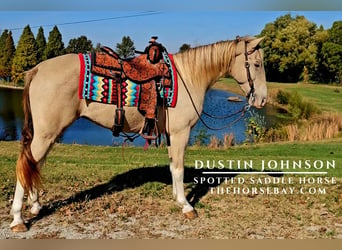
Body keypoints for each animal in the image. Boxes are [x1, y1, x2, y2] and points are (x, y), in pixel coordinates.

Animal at [9, 35, 268, 232]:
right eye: (256, 64)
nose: (263, 100)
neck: (189, 77)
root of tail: (38, 68)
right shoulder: (181, 133)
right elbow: (179, 168)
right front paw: (186, 205)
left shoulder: (171, 135)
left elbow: (173, 166)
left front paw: (177, 197)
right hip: (46, 134)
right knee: (25, 165)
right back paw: (18, 219)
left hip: (50, 134)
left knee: (34, 165)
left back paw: (35, 205)